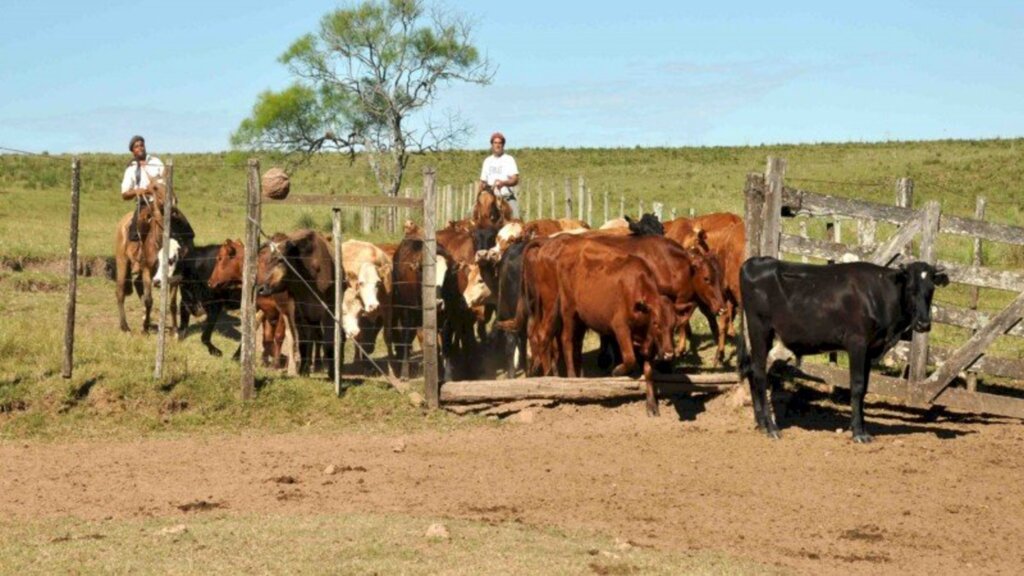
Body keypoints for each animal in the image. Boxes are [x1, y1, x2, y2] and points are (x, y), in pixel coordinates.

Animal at [737, 258, 950, 440]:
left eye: (931, 289)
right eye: (911, 288)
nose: (923, 324)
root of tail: (754, 262)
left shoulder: (870, 349)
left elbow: (864, 388)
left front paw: (862, 428)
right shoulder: (857, 343)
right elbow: (857, 386)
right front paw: (858, 433)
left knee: (751, 371)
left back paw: (761, 424)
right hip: (760, 328)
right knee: (759, 373)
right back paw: (771, 428)